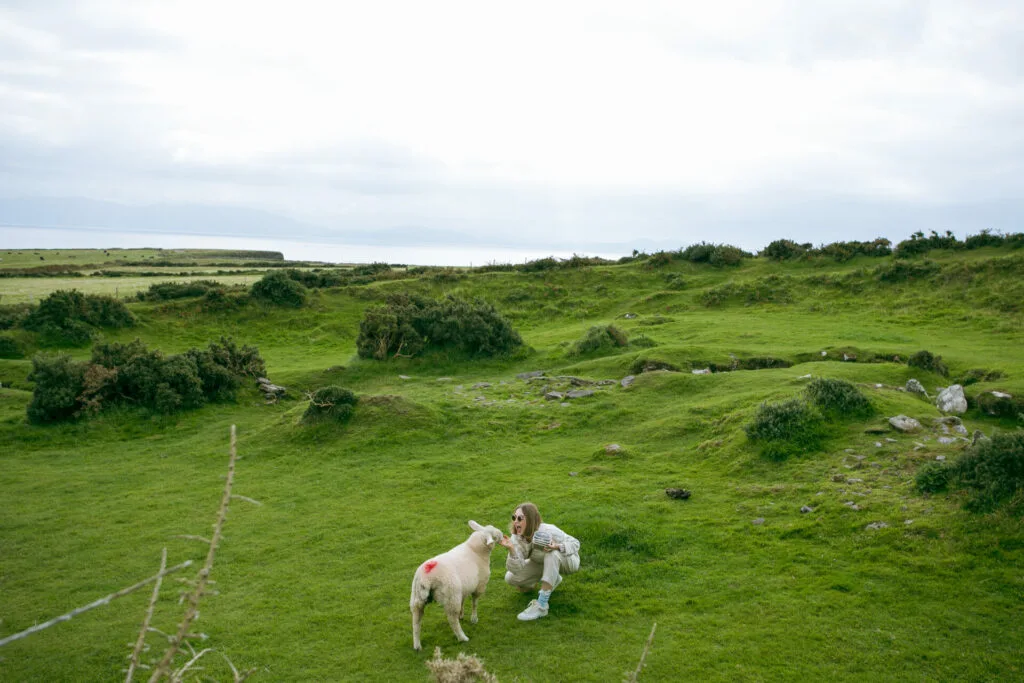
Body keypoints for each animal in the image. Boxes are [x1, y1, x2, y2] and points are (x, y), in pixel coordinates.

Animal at [409, 518, 501, 651]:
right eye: (494, 536)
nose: (503, 535)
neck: (475, 550)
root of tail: (427, 576)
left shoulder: (463, 589)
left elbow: (463, 602)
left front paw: (462, 615)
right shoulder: (479, 585)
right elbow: (475, 603)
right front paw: (474, 618)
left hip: (417, 597)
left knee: (416, 621)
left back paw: (417, 645)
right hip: (451, 595)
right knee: (452, 619)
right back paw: (462, 637)